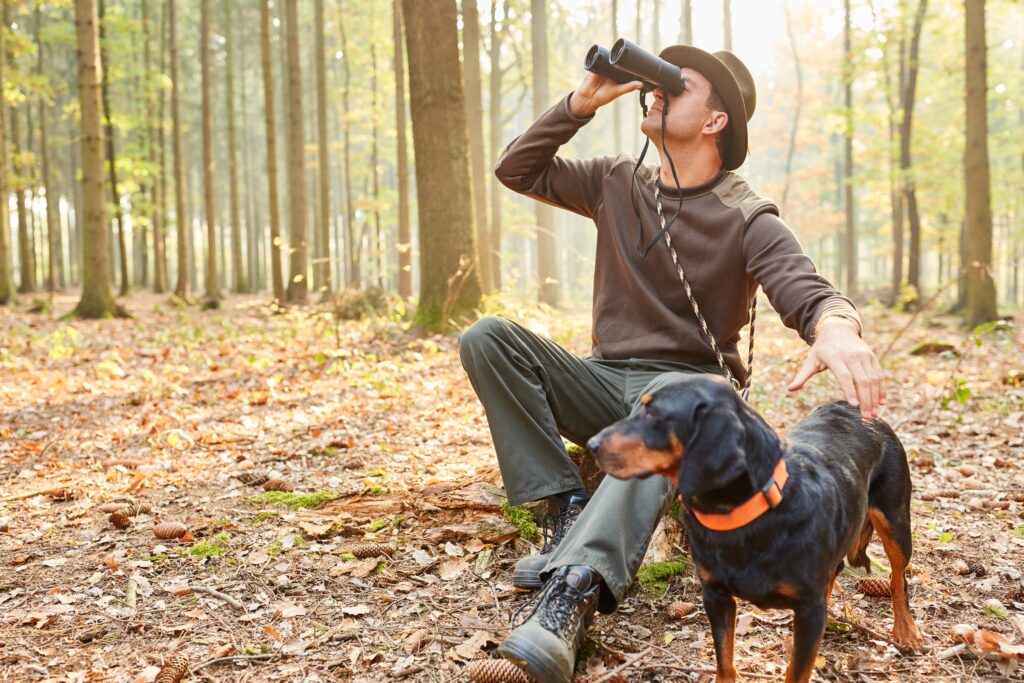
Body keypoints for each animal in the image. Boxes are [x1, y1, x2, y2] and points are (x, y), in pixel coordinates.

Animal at [589, 374, 925, 683]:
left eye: (653, 414)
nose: (592, 444)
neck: (746, 514)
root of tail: (856, 409)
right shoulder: (716, 596)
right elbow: (725, 662)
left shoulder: (807, 607)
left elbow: (796, 671)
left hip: (896, 523)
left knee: (898, 578)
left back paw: (906, 630)